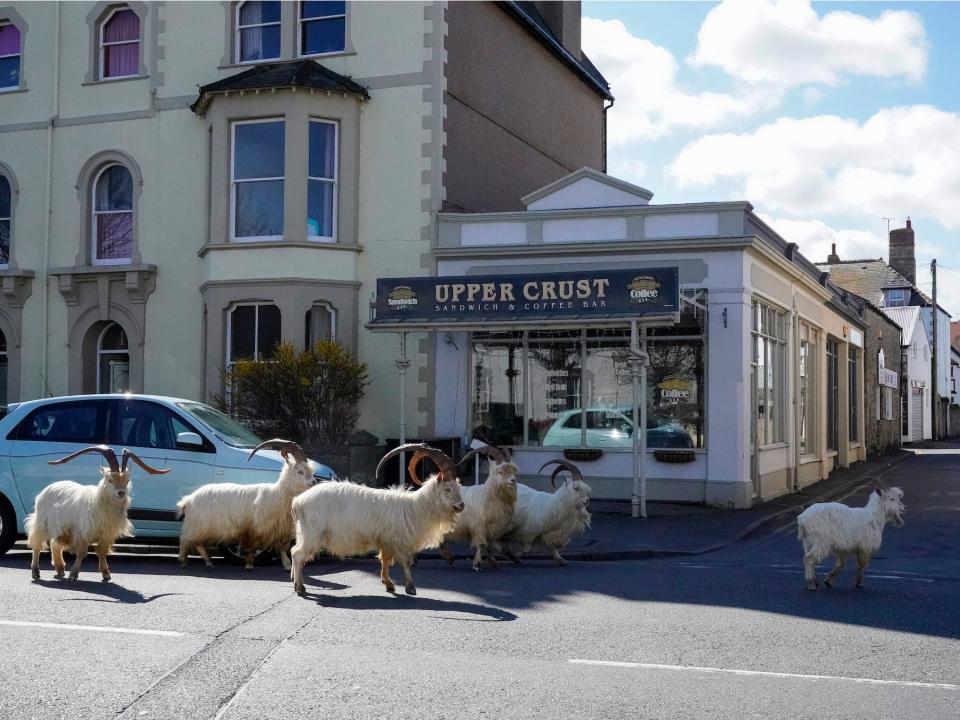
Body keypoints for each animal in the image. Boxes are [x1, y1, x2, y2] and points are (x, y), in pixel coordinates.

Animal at [25, 448, 169, 584]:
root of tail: (47, 489)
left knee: (55, 544)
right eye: (110, 480)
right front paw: (73, 575)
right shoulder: (82, 533)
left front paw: (106, 574)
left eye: (127, 481)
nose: (121, 493)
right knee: (37, 545)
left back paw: (60, 569)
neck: (97, 503)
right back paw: (35, 572)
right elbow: (82, 553)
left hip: (62, 531)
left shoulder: (106, 535)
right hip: (41, 523)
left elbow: (102, 552)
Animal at [176, 436, 316, 572]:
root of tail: (188, 500)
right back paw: (183, 561)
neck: (278, 494)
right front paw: (249, 563)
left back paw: (208, 561)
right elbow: (254, 546)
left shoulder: (279, 529)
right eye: (299, 471)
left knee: (198, 543)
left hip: (201, 527)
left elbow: (282, 547)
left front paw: (287, 565)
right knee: (185, 539)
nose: (314, 482)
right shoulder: (256, 528)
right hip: (196, 525)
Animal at [288, 444, 464, 596]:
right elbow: (405, 562)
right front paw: (410, 588)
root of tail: (298, 501)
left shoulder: (386, 541)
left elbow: (385, 560)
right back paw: (300, 588)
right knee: (297, 554)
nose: (461, 506)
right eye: (447, 489)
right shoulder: (400, 541)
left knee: (295, 552)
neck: (415, 507)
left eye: (458, 487)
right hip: (312, 533)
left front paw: (389, 584)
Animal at [438, 442, 520, 572]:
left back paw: (449, 558)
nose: (513, 480)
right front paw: (476, 564)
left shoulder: (494, 530)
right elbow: (481, 545)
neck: (488, 496)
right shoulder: (479, 527)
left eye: (513, 470)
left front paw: (493, 562)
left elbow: (490, 546)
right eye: (500, 472)